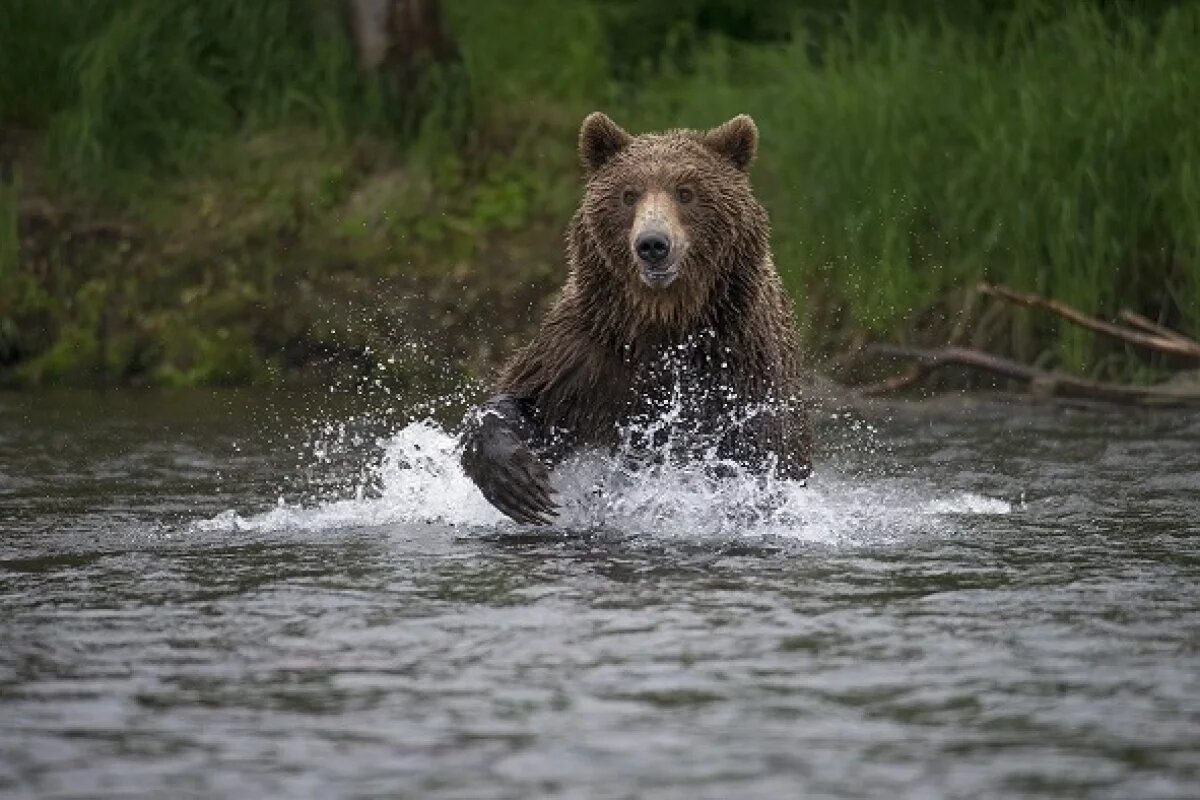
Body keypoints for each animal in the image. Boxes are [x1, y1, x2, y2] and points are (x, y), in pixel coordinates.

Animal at [453, 113, 811, 525]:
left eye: (685, 192)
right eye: (628, 194)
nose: (653, 244)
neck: (662, 320)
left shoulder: (739, 365)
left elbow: (753, 454)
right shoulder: (587, 353)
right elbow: (528, 401)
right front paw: (518, 482)